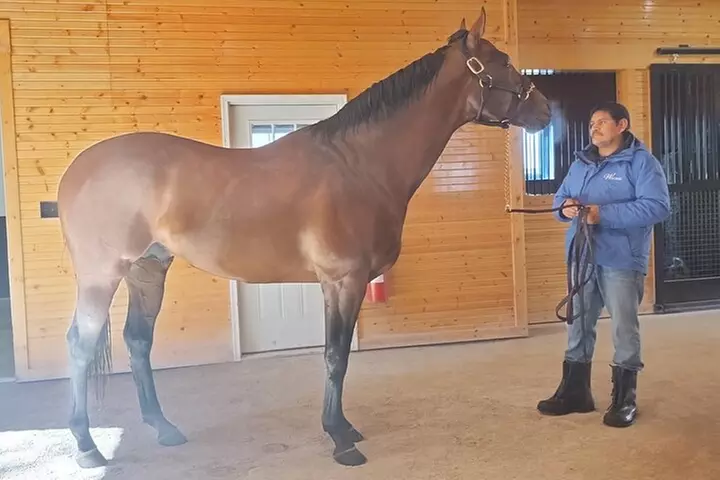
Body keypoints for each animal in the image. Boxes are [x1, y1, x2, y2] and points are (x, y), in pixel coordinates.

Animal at [57, 7, 550, 469]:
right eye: (503, 61)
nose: (546, 110)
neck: (361, 165)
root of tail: (76, 172)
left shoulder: (339, 283)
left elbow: (338, 356)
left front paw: (344, 427)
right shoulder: (343, 280)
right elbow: (336, 357)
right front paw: (340, 440)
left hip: (148, 270)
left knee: (138, 341)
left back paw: (164, 428)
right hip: (103, 275)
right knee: (80, 345)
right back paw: (87, 446)